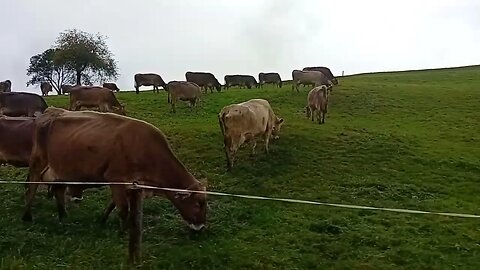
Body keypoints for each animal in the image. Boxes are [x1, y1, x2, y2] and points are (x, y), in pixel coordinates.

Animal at [22, 107, 207, 232]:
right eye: (197, 203)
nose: (202, 226)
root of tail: (51, 111)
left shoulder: (130, 183)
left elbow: (114, 205)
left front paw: (103, 220)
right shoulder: (116, 178)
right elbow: (123, 209)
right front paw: (123, 232)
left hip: (61, 171)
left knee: (59, 191)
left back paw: (63, 216)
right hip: (38, 163)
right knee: (31, 188)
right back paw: (27, 216)